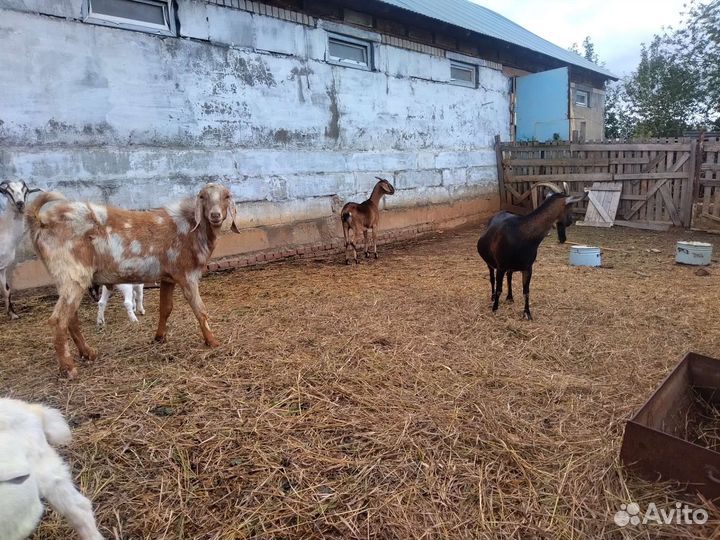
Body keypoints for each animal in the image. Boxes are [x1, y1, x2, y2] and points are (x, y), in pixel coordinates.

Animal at [0, 180, 42, 319]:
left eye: (26, 190)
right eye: (8, 190)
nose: (20, 204)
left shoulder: (2, 267)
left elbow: (6, 290)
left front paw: (13, 314)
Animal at [26, 183, 240, 378]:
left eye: (226, 196)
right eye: (203, 197)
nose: (215, 215)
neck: (190, 228)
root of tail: (40, 220)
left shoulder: (168, 277)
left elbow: (165, 308)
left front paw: (159, 337)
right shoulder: (187, 275)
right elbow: (200, 310)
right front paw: (213, 342)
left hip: (68, 280)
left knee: (71, 318)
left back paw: (88, 353)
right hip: (72, 274)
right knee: (58, 320)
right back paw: (68, 369)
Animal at [477, 182, 584, 320]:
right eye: (570, 207)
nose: (570, 221)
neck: (521, 234)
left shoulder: (528, 267)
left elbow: (526, 291)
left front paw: (527, 313)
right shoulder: (501, 266)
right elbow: (499, 288)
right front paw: (495, 308)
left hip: (511, 267)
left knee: (509, 277)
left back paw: (510, 297)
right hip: (490, 263)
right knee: (492, 278)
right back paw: (493, 297)